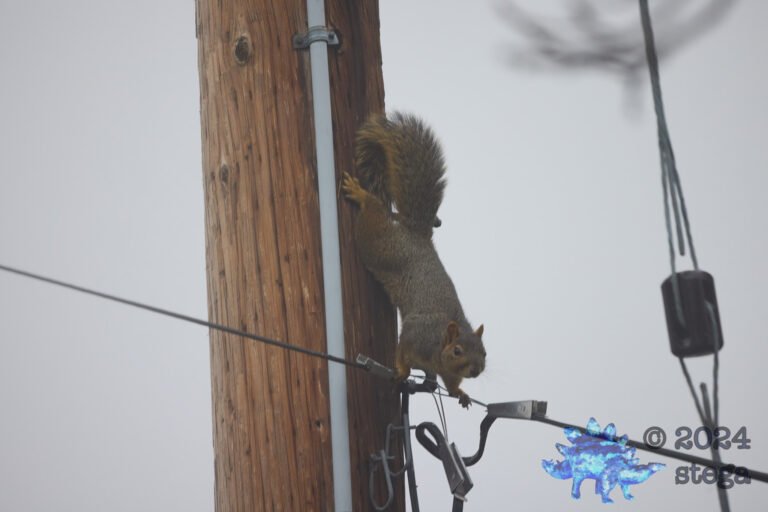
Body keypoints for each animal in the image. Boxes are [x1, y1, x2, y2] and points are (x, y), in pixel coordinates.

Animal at [342, 112, 486, 408]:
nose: (477, 370)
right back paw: (362, 194)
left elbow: (450, 384)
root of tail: (418, 236)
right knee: (373, 215)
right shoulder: (415, 337)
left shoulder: (445, 372)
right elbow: (402, 352)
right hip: (379, 246)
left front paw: (460, 393)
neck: (439, 348)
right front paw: (401, 370)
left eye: (485, 353)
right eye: (457, 350)